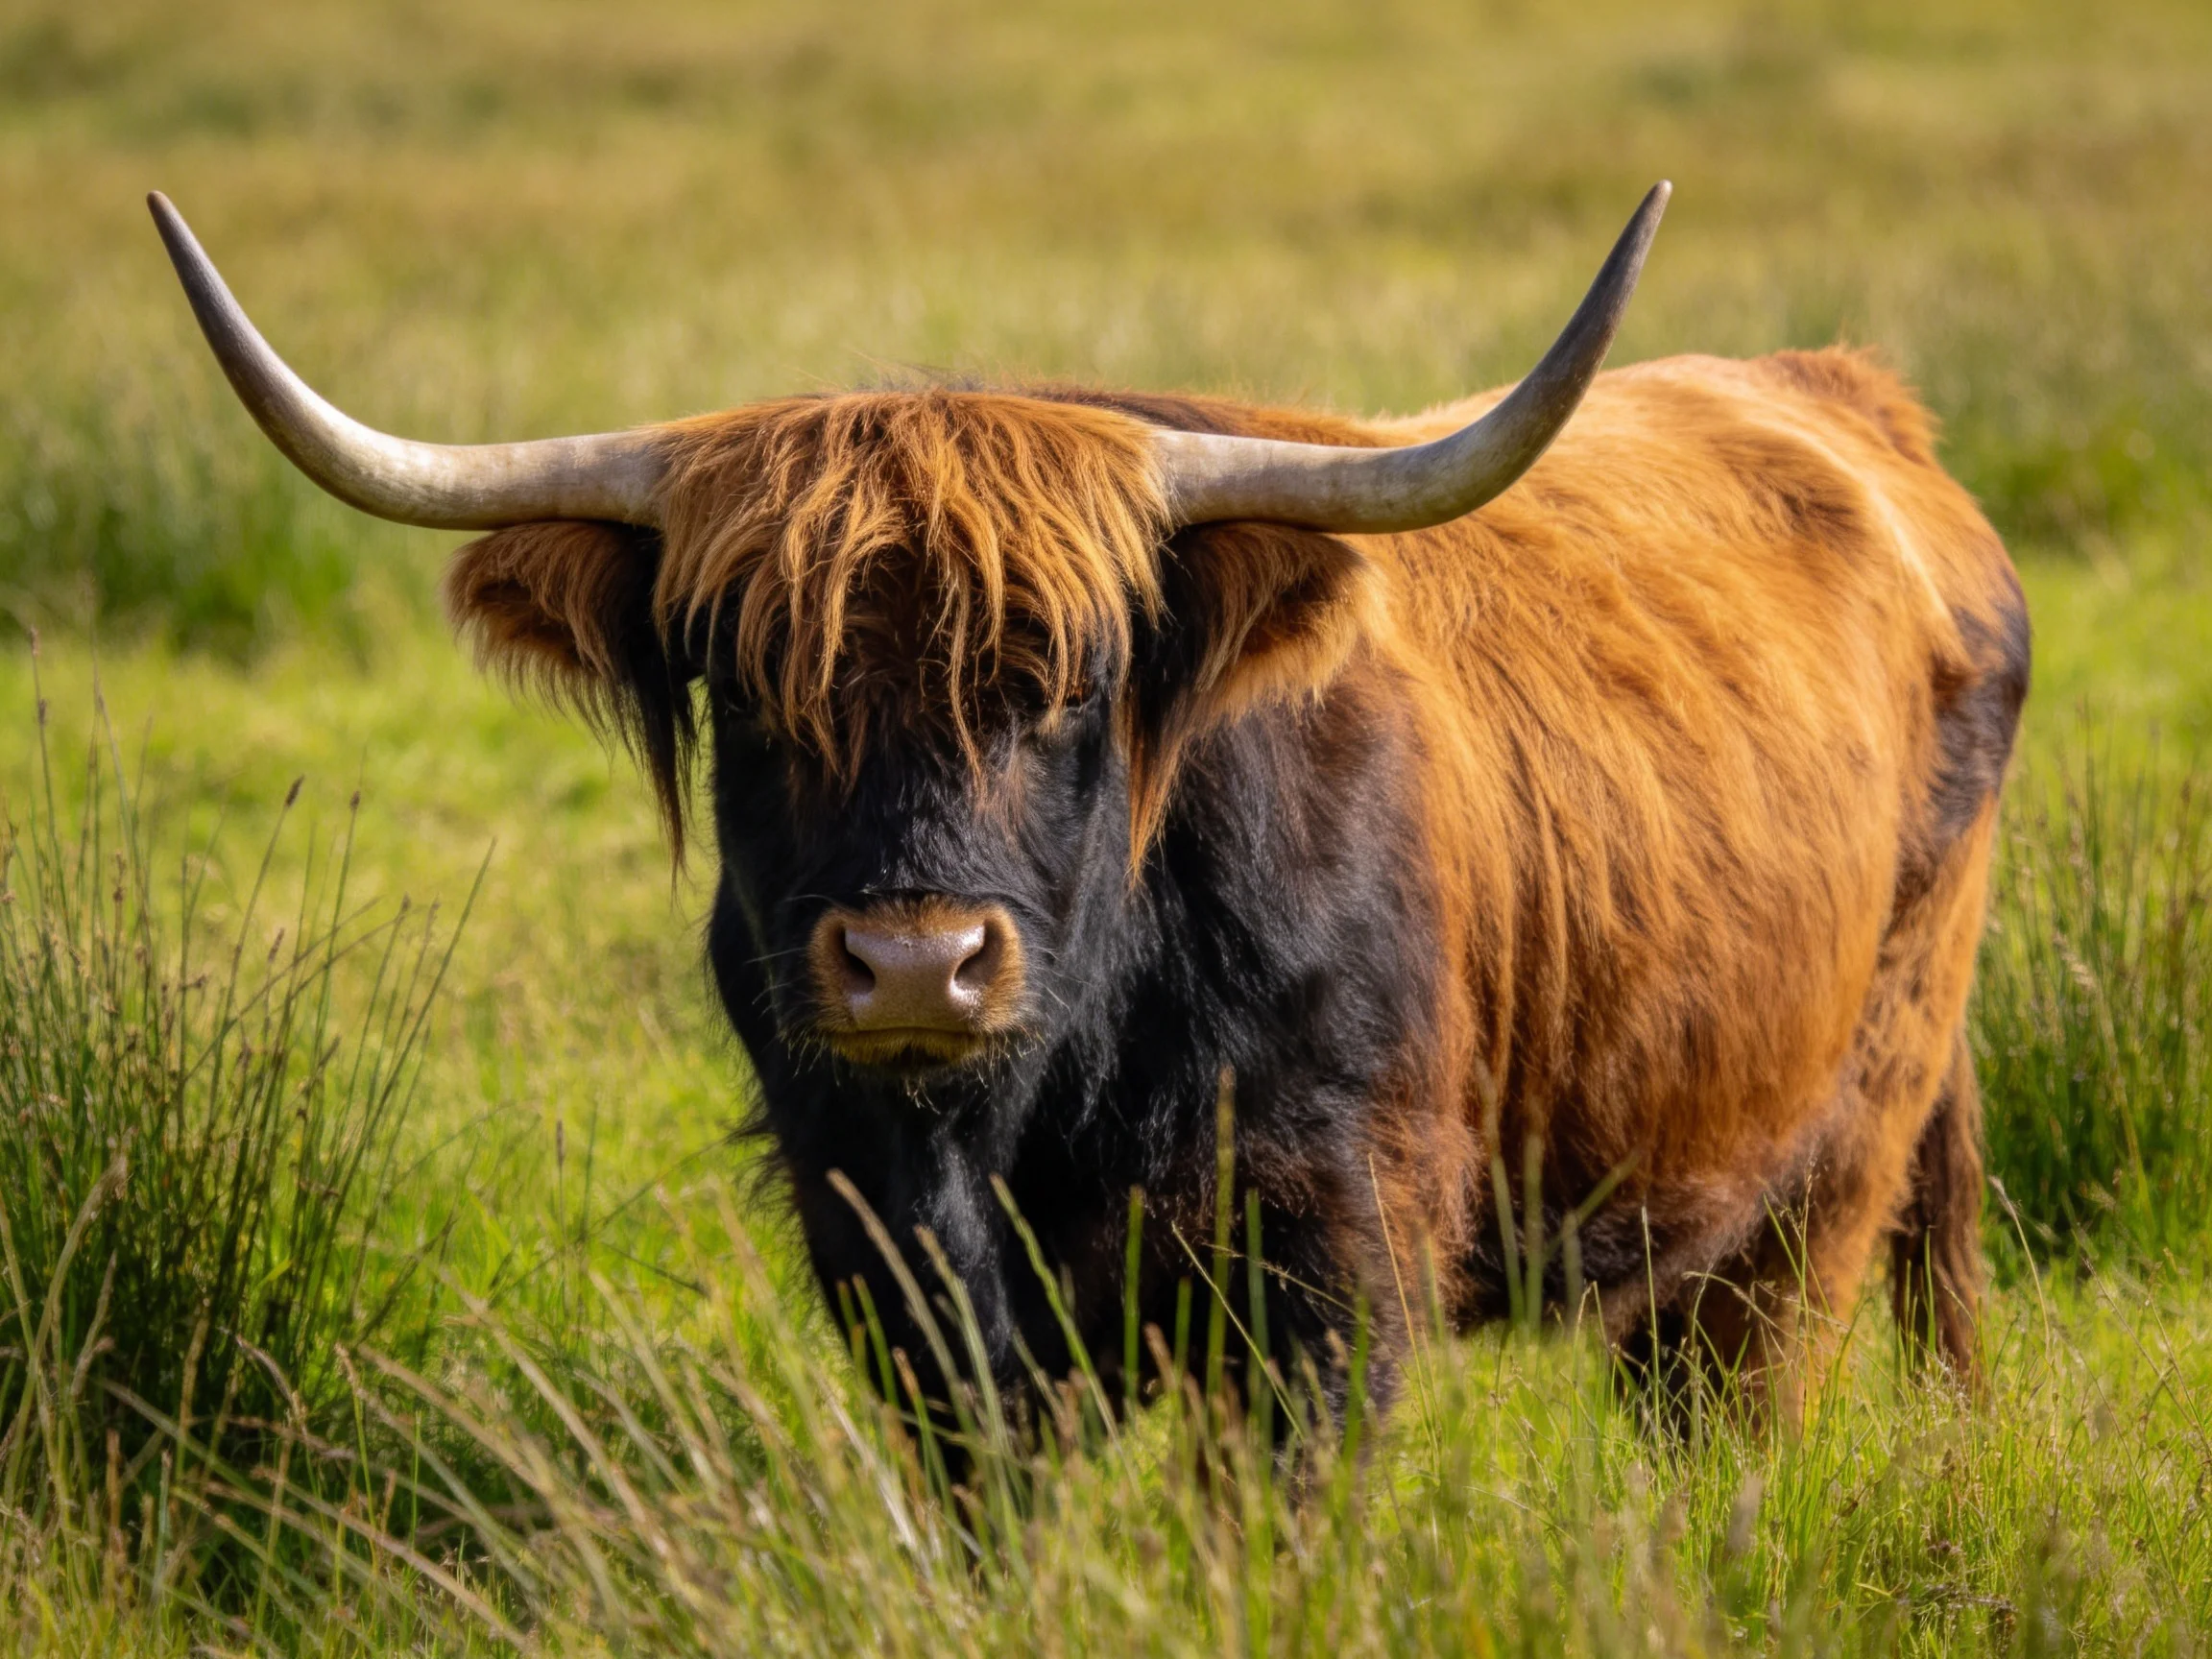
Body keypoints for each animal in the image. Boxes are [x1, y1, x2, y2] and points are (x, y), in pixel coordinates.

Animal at [150, 183, 2026, 1430]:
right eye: (749, 693)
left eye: (1065, 680)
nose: (915, 965)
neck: (1050, 1096)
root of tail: (1853, 402)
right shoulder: (884, 1246)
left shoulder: (1331, 1244)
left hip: (1835, 1140)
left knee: (1735, 1393)